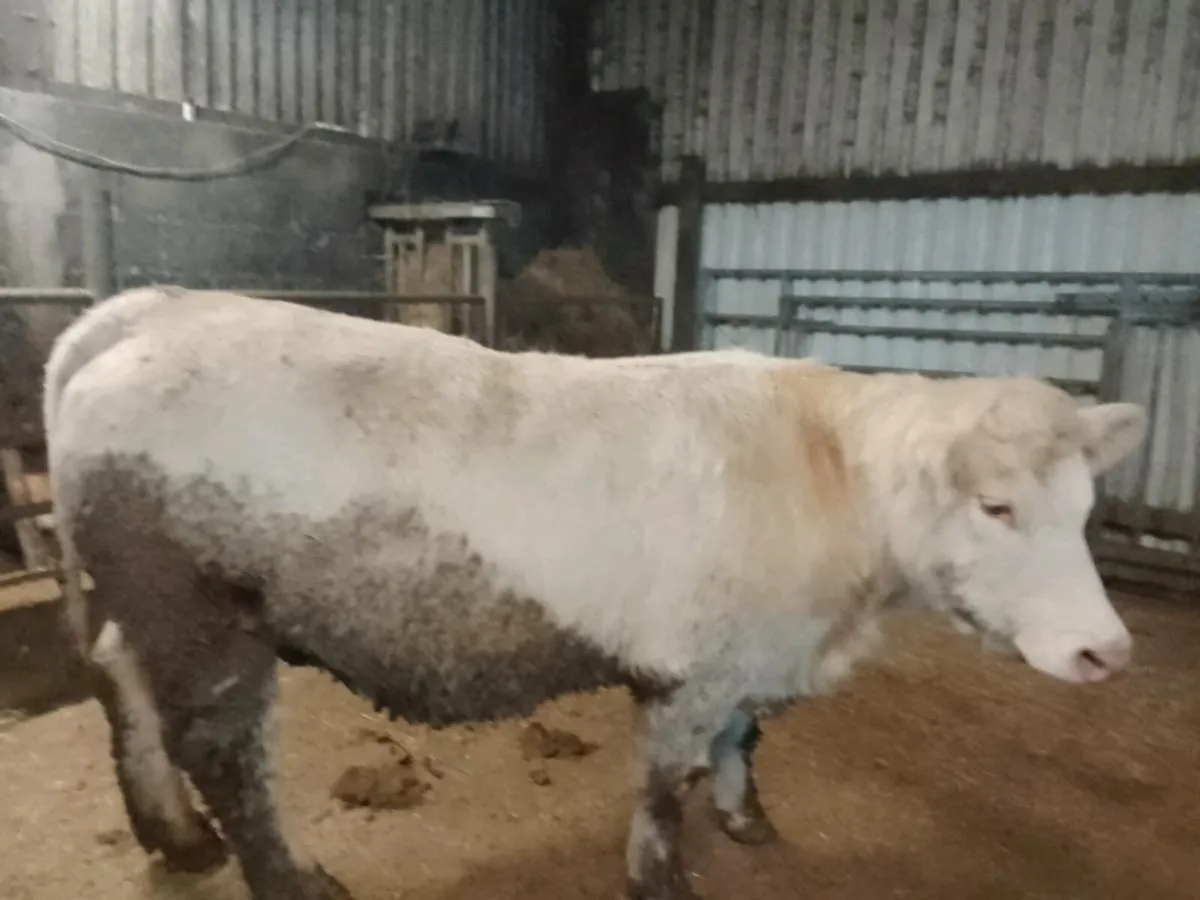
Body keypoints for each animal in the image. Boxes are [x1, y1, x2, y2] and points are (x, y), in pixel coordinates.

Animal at [43, 286, 1146, 900]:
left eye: (1087, 507)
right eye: (996, 505)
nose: (1108, 651)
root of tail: (154, 310)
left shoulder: (750, 654)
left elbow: (745, 739)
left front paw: (745, 817)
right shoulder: (692, 668)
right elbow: (663, 784)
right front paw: (662, 878)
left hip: (145, 602)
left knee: (120, 683)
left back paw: (177, 839)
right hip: (203, 609)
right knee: (223, 750)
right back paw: (290, 880)